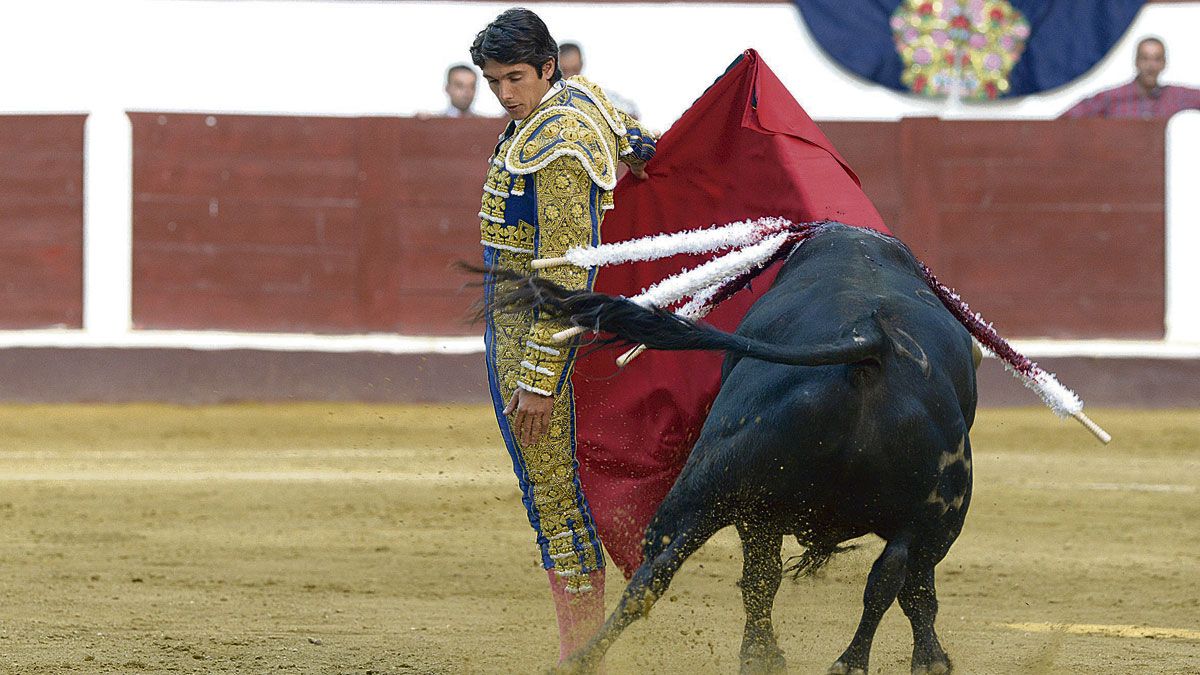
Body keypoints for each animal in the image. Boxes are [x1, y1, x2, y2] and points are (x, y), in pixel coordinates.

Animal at [496, 222, 974, 672]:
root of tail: (869, 350)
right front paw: (931, 659)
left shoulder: (760, 507)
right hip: (914, 513)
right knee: (890, 580)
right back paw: (851, 661)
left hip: (716, 485)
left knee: (661, 570)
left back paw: (583, 659)